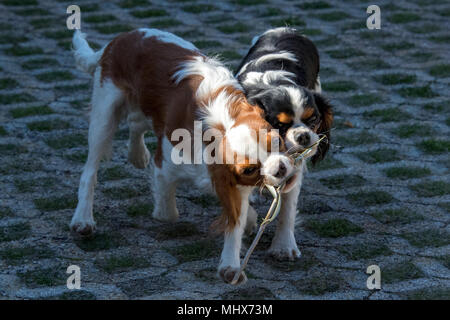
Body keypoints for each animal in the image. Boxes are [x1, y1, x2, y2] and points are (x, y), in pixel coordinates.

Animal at [70, 28, 298, 284]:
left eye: (277, 141)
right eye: (249, 169)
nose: (280, 168)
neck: (218, 126)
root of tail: (124, 36)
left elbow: (236, 218)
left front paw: (230, 264)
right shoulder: (166, 168)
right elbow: (167, 213)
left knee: (136, 122)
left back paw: (137, 154)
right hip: (105, 115)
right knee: (90, 171)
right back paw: (82, 218)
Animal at [237, 26, 332, 260]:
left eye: (313, 120)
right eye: (279, 125)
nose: (304, 136)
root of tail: (287, 28)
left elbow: (287, 209)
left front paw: (284, 246)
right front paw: (249, 221)